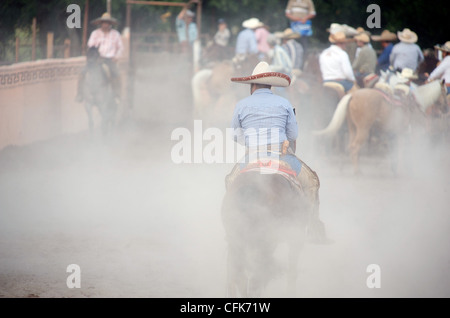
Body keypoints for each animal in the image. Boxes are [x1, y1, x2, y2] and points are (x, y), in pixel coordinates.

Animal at [314, 79, 448, 174]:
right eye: (444, 92)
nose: (446, 108)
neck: (414, 104)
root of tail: (352, 96)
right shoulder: (406, 133)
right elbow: (402, 151)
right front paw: (402, 170)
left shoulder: (393, 134)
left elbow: (394, 151)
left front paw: (395, 169)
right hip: (363, 130)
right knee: (354, 147)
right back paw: (357, 171)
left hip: (353, 129)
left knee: (349, 147)